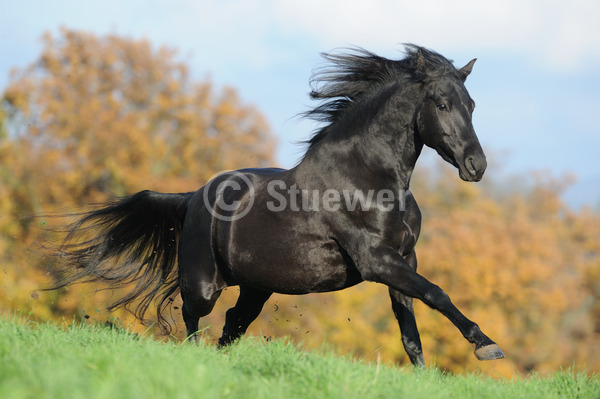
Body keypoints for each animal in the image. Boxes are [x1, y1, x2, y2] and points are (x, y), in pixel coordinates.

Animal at [49, 45, 504, 368]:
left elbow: (412, 331)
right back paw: (194, 358)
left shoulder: (404, 259)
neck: (368, 179)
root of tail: (192, 197)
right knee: (193, 316)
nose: (477, 166)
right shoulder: (377, 260)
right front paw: (488, 346)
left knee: (232, 324)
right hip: (203, 281)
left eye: (472, 105)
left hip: (256, 287)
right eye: (442, 104)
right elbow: (437, 293)